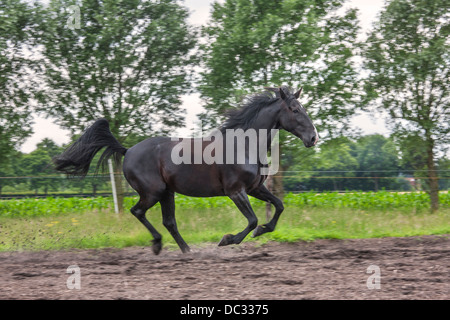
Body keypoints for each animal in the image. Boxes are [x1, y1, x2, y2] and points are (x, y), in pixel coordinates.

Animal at [52, 86, 318, 254]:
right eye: (295, 110)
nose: (313, 138)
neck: (243, 145)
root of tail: (128, 151)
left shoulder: (255, 188)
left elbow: (278, 206)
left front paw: (264, 230)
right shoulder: (236, 191)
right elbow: (252, 220)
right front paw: (227, 240)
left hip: (167, 192)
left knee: (169, 221)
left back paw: (187, 250)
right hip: (153, 192)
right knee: (138, 212)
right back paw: (158, 245)